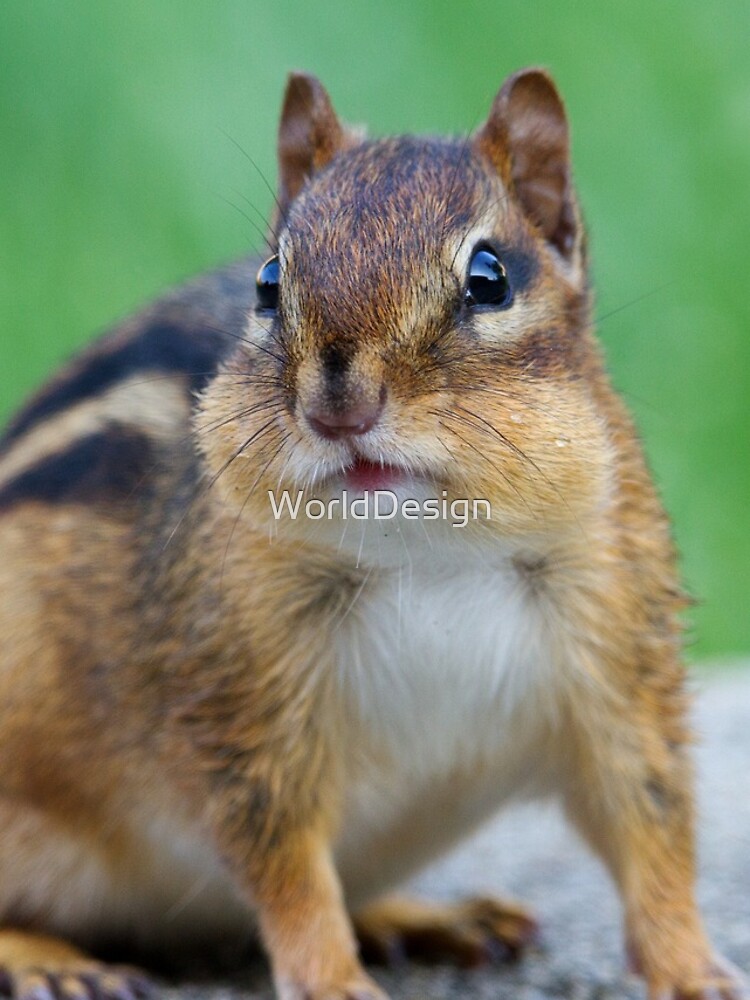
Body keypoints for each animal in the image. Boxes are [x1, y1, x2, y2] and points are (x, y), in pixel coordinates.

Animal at [0, 68, 745, 1000]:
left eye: (490, 278)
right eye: (269, 283)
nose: (338, 404)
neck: (431, 553)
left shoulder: (620, 662)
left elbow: (653, 826)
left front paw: (693, 967)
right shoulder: (239, 709)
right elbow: (285, 866)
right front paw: (331, 980)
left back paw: (424, 916)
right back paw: (54, 960)